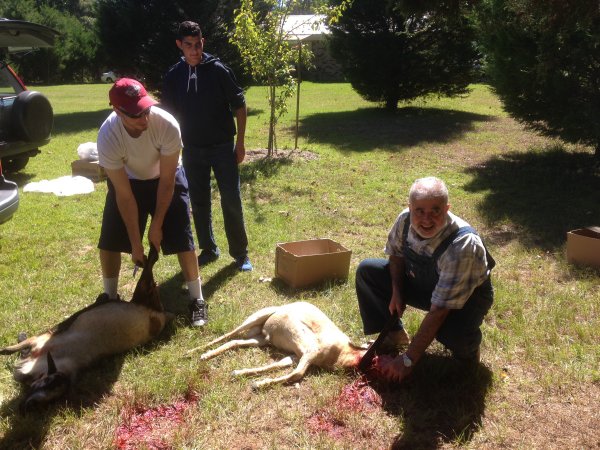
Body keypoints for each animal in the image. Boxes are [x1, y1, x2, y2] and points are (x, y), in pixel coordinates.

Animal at [0, 246, 171, 410]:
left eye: (53, 392)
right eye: (46, 382)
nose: (27, 407)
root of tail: (159, 314)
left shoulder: (37, 342)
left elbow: (14, 351)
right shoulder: (37, 341)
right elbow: (15, 348)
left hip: (144, 289)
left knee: (150, 265)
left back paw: (150, 253)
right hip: (145, 293)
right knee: (149, 267)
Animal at [188, 301, 369, 389]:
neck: (340, 353)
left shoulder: (296, 356)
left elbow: (275, 366)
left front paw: (239, 373)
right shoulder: (310, 352)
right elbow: (297, 374)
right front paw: (258, 384)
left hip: (261, 339)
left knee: (235, 341)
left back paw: (203, 355)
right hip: (255, 319)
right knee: (229, 334)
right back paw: (193, 352)